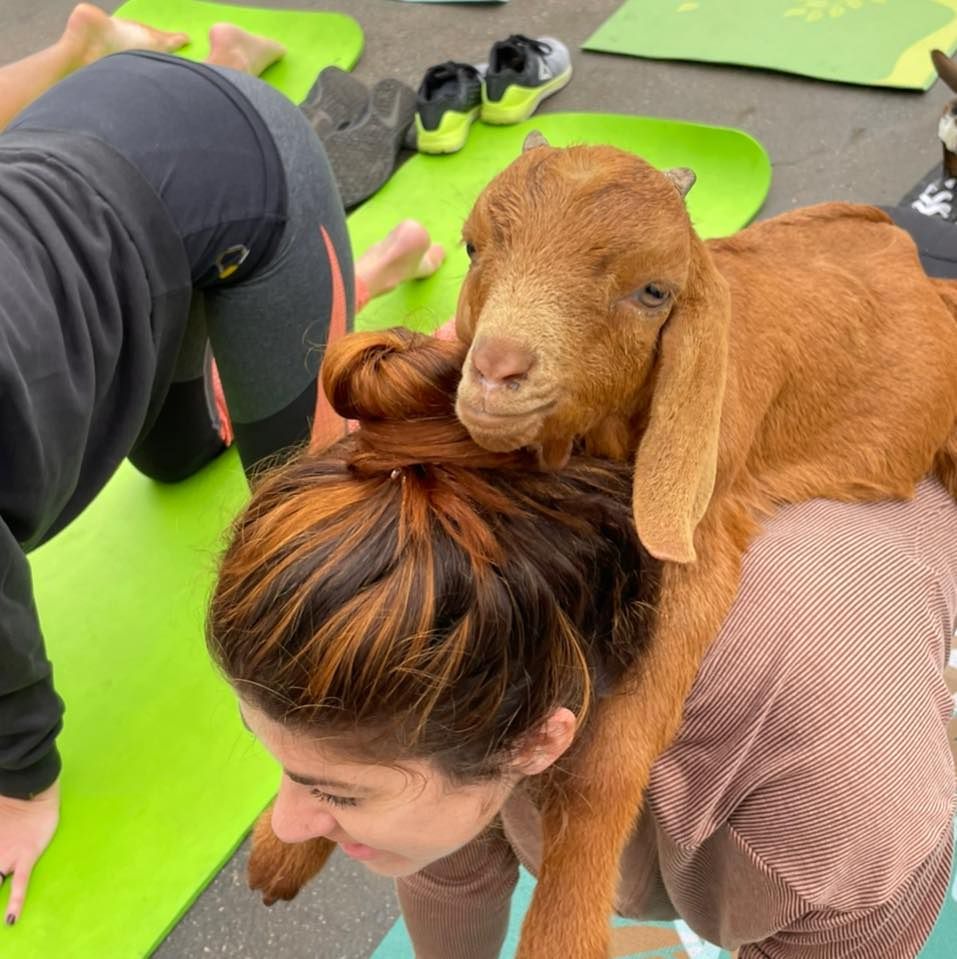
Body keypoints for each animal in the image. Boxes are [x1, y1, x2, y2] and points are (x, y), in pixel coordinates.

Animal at [450, 131, 957, 956]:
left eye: (652, 292)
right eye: (470, 245)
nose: (495, 370)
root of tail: (908, 257)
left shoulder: (701, 537)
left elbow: (610, 757)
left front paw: (562, 928)